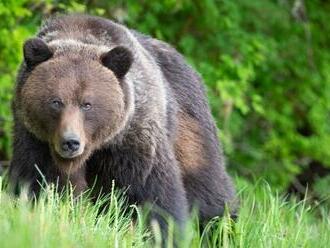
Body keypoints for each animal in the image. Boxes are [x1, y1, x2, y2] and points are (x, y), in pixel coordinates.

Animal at [9, 14, 237, 237]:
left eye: (87, 104)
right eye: (55, 101)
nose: (70, 142)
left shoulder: (133, 137)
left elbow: (152, 193)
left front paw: (161, 233)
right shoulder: (35, 139)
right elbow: (38, 182)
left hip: (188, 124)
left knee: (207, 186)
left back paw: (224, 230)